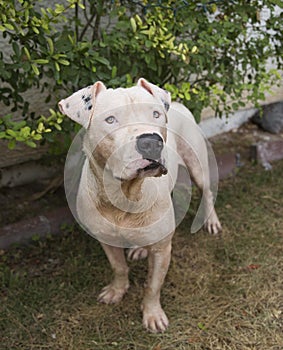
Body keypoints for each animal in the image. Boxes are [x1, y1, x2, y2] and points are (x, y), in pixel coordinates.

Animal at [58, 78, 222, 332]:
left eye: (155, 114)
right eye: (110, 119)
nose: (151, 141)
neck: (126, 195)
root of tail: (178, 103)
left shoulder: (162, 250)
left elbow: (153, 285)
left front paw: (152, 314)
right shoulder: (106, 240)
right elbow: (118, 267)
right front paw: (117, 291)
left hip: (197, 166)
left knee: (207, 191)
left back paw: (211, 221)